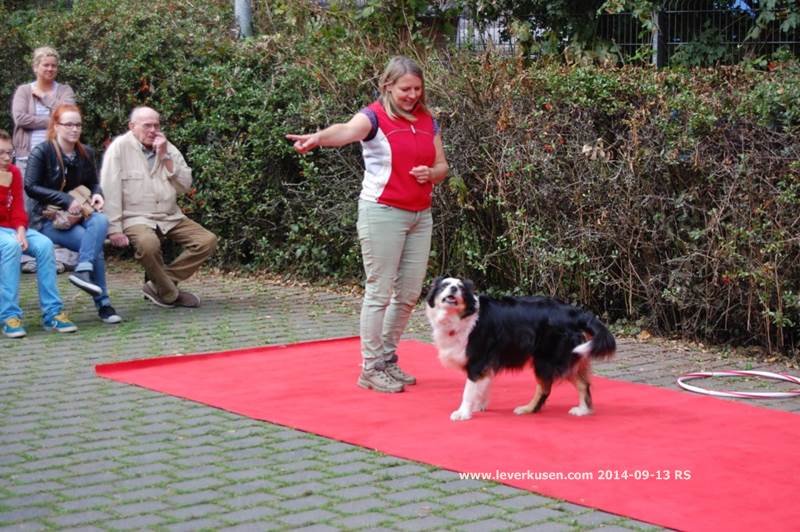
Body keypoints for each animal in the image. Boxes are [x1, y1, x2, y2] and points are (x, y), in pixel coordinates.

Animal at [424, 276, 620, 422]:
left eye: (461, 288)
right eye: (445, 285)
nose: (453, 289)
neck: (463, 316)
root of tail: (575, 312)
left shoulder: (477, 360)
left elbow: (468, 390)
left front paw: (463, 412)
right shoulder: (486, 364)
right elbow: (483, 385)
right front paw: (479, 406)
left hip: (547, 359)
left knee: (545, 388)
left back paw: (528, 409)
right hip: (569, 355)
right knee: (583, 383)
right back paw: (583, 410)